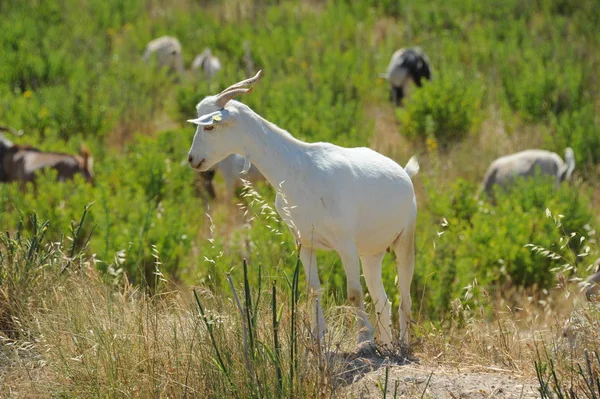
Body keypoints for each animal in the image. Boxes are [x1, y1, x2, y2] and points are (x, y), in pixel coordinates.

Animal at [186, 72, 418, 350]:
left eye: (209, 126)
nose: (192, 159)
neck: (300, 168)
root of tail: (405, 176)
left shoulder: (345, 243)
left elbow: (353, 292)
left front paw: (363, 339)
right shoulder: (304, 242)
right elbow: (313, 289)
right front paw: (319, 336)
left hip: (404, 241)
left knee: (405, 298)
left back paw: (402, 344)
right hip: (371, 253)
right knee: (384, 299)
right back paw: (386, 344)